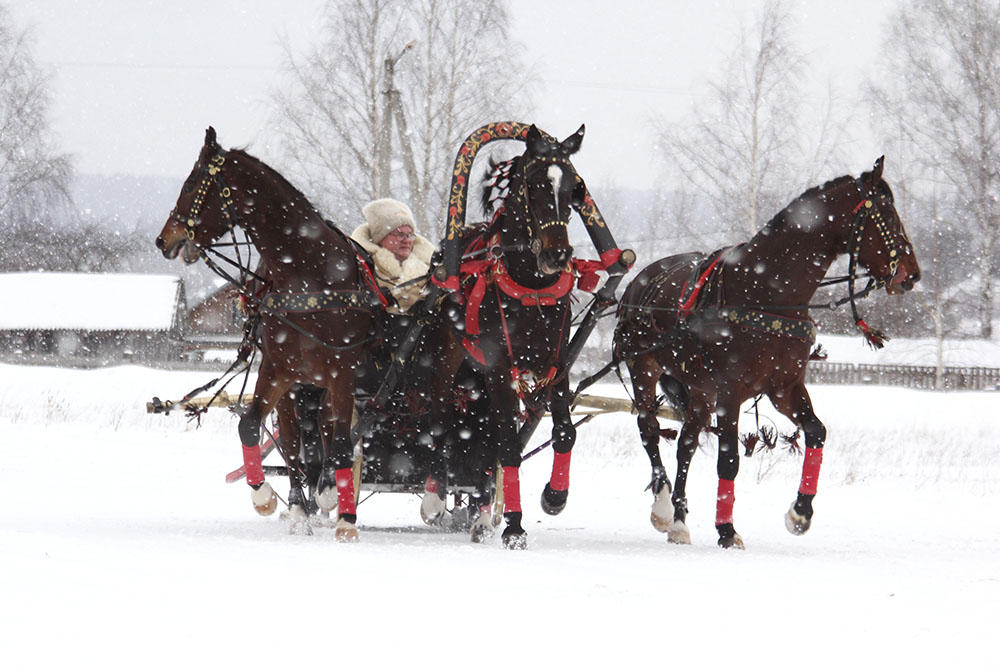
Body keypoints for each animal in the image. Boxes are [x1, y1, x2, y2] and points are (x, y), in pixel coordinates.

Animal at [420, 124, 584, 548]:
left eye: (573, 187)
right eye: (536, 185)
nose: (558, 255)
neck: (532, 289)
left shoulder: (556, 366)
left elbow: (564, 433)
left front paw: (555, 495)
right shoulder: (499, 369)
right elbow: (508, 446)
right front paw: (514, 526)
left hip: (477, 383)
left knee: (480, 437)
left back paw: (479, 513)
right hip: (449, 363)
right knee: (440, 421)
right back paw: (433, 497)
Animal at [612, 157, 924, 548]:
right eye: (888, 215)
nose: (912, 274)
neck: (767, 291)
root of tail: (639, 282)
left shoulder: (783, 387)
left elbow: (817, 431)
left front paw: (800, 512)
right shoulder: (730, 392)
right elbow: (729, 460)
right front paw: (726, 530)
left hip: (699, 389)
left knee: (686, 442)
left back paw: (681, 521)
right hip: (644, 367)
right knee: (650, 430)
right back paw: (664, 507)